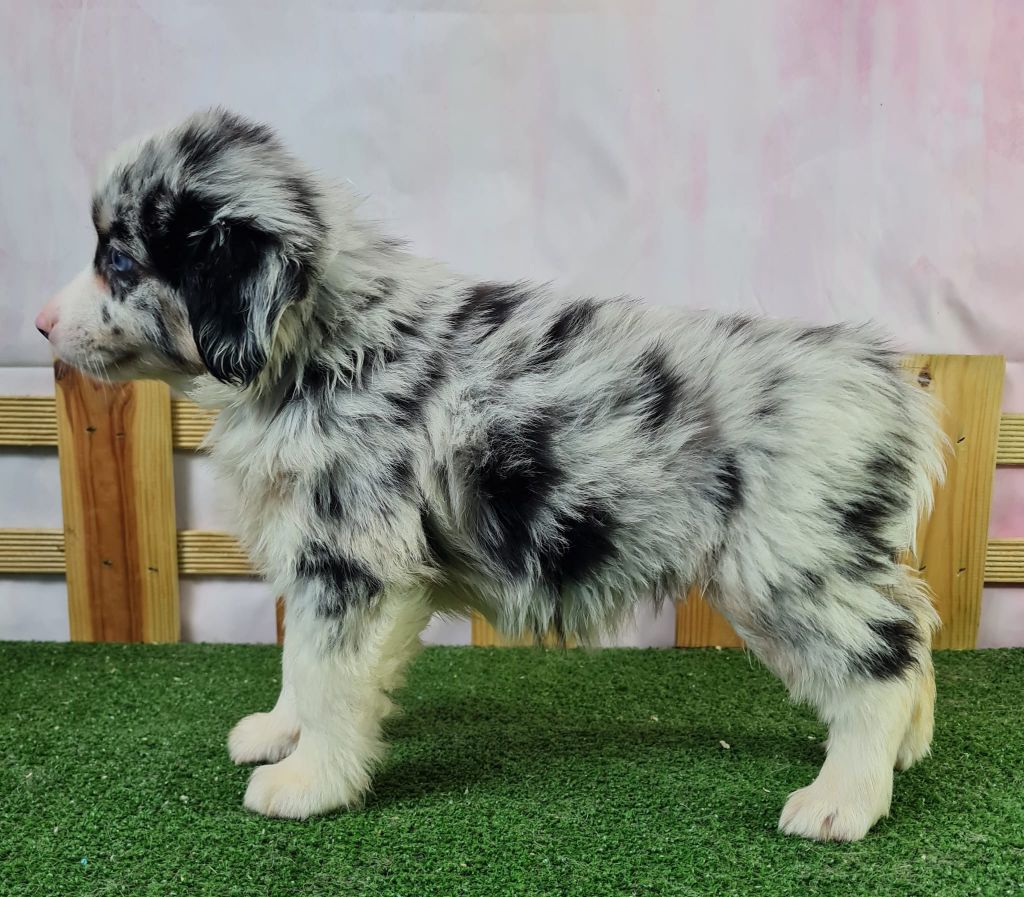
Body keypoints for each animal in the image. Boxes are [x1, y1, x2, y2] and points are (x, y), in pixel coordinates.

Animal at [37, 109, 944, 841]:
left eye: (120, 263)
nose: (40, 323)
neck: (322, 344)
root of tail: (890, 383)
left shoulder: (355, 559)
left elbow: (330, 677)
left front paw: (306, 782)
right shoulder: (320, 556)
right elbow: (301, 660)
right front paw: (279, 733)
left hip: (787, 568)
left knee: (880, 664)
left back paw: (842, 800)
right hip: (825, 563)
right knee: (912, 633)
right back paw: (907, 751)